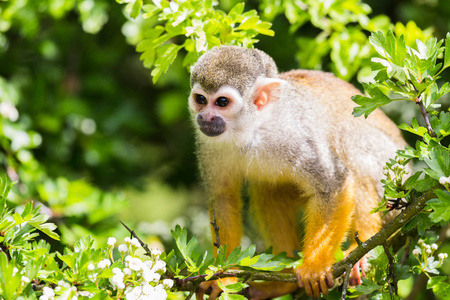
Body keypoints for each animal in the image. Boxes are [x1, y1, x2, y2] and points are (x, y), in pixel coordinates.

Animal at [188, 45, 406, 298]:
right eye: (200, 99)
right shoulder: (207, 143)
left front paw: (314, 267)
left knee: (349, 140)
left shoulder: (296, 136)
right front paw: (224, 277)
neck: (252, 129)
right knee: (267, 191)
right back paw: (283, 280)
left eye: (222, 102)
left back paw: (367, 243)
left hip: (392, 172)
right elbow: (224, 198)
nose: (205, 117)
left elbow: (333, 184)